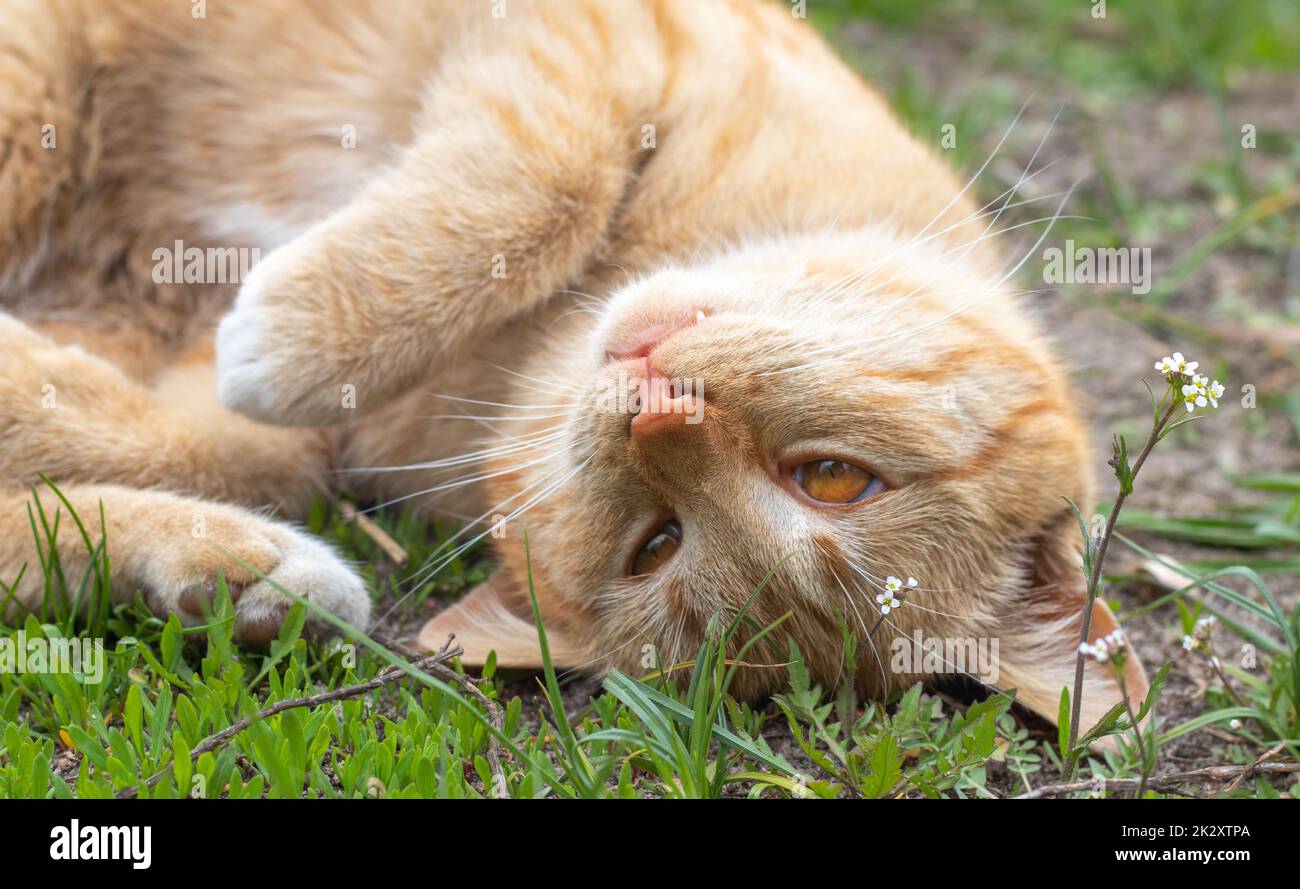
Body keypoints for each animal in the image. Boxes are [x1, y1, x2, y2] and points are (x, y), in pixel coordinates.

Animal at [0, 0, 1144, 727]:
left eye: (657, 544)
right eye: (834, 477)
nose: (657, 405)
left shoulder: (253, 420)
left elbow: (173, 437)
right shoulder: (600, 40)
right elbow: (544, 182)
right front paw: (291, 334)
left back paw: (242, 579)